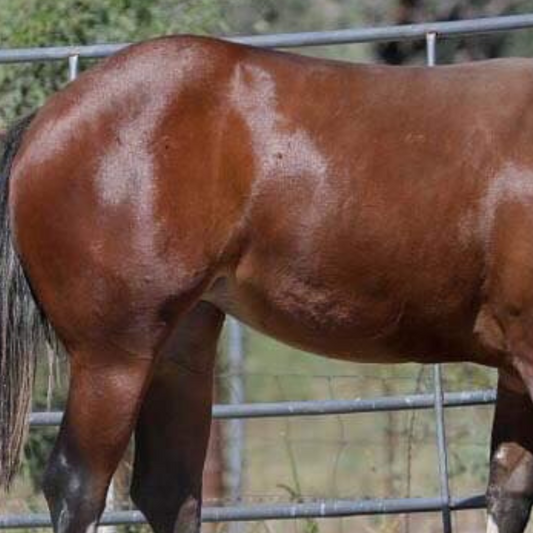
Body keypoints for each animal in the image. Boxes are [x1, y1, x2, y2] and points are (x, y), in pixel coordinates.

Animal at [1, 34, 532, 532]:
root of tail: (46, 120)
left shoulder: (514, 371)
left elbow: (508, 494)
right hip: (114, 358)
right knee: (78, 485)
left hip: (179, 346)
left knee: (168, 489)